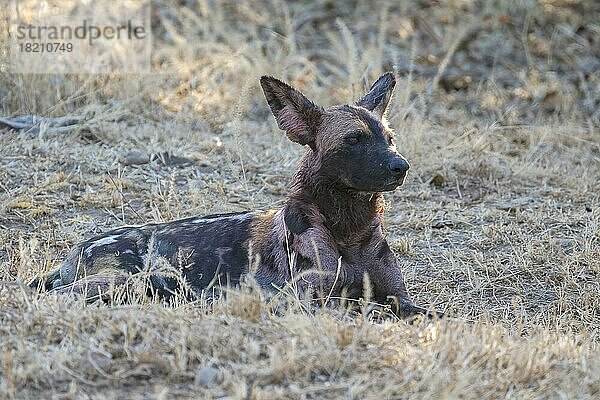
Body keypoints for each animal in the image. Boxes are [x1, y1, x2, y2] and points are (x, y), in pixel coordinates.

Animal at [29, 72, 440, 318]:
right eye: (354, 140)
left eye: (390, 139)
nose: (401, 166)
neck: (348, 229)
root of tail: (73, 253)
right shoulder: (305, 302)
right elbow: (361, 311)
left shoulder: (402, 299)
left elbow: (422, 312)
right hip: (125, 284)